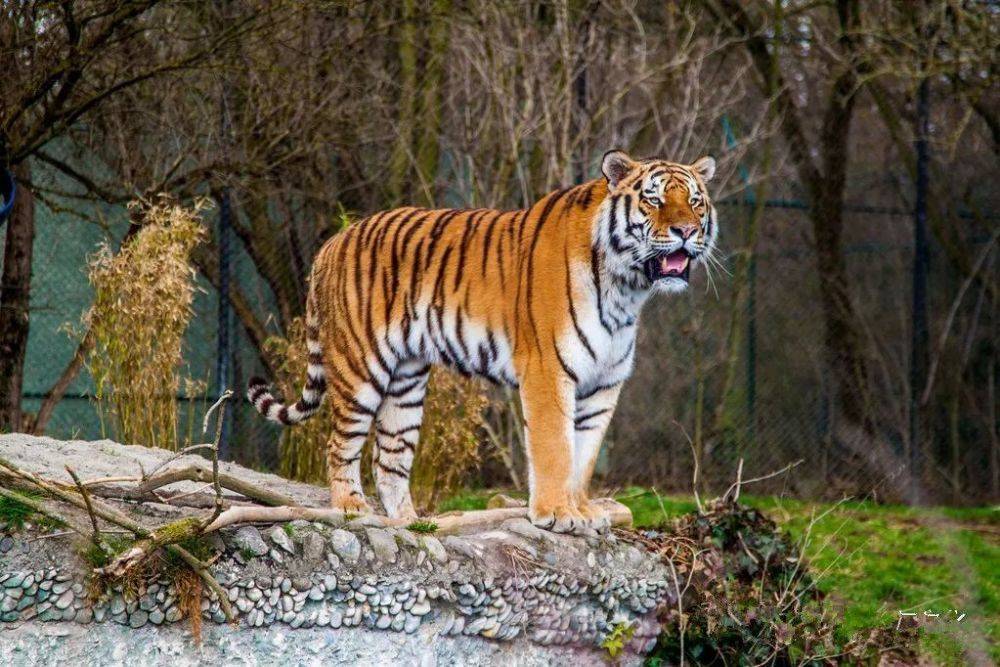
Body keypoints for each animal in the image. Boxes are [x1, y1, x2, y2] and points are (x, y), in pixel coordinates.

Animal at [250, 151, 720, 536]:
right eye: (654, 200)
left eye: (696, 201)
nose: (685, 230)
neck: (627, 288)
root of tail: (332, 242)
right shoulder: (548, 371)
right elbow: (555, 447)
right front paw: (556, 514)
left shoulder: (604, 384)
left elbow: (584, 455)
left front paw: (583, 510)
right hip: (360, 367)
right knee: (340, 445)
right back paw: (351, 508)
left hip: (406, 382)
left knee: (389, 460)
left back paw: (411, 524)